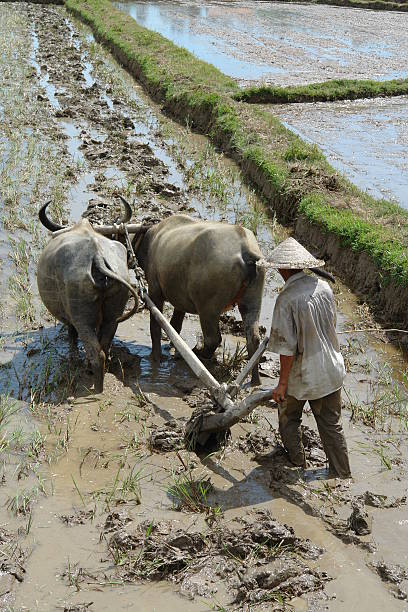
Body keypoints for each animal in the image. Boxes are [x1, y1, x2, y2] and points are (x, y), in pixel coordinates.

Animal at [37, 201, 139, 392]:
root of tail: (97, 256)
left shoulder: (71, 317)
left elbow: (71, 334)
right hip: (113, 313)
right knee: (104, 344)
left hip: (82, 316)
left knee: (96, 352)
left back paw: (95, 381)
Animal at [131, 215, 264, 384]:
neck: (154, 237)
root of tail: (246, 250)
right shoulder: (179, 300)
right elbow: (175, 325)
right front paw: (171, 345)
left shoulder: (155, 291)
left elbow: (156, 324)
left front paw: (156, 357)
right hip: (252, 302)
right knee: (254, 339)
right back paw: (255, 380)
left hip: (208, 309)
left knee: (212, 339)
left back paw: (198, 355)